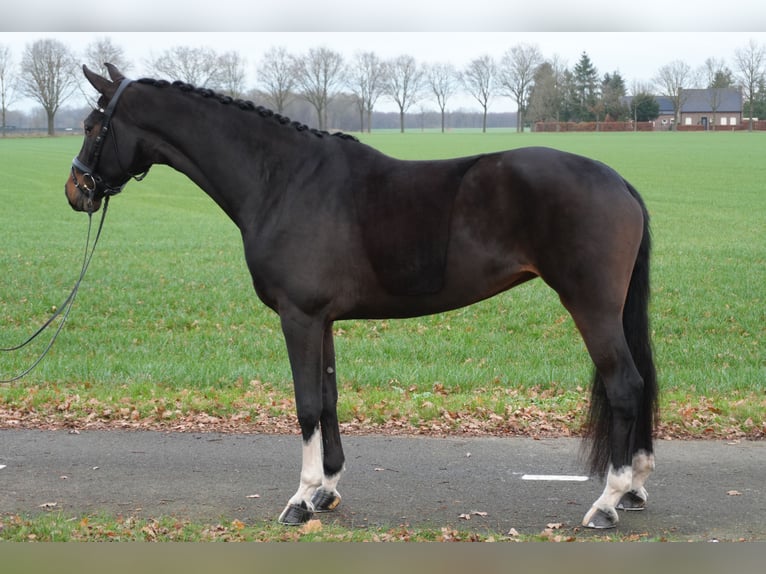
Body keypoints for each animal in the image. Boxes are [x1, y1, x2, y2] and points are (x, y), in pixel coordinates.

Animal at [64, 64, 658, 530]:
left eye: (94, 126)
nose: (76, 190)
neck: (282, 180)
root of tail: (619, 182)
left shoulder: (299, 318)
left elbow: (305, 403)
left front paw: (300, 498)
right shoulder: (321, 320)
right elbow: (327, 399)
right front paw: (326, 490)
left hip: (591, 307)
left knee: (626, 386)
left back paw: (607, 502)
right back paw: (632, 488)